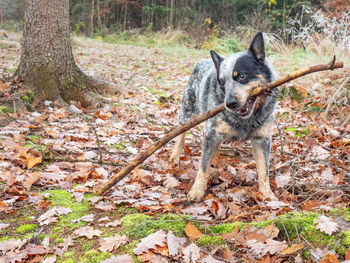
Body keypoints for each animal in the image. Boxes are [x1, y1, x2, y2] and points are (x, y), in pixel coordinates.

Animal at [171, 32, 280, 202]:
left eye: (241, 76)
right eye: (222, 83)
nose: (229, 103)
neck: (245, 120)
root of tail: (201, 61)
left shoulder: (262, 139)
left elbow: (264, 170)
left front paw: (268, 195)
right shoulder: (212, 134)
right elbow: (203, 166)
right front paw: (197, 191)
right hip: (187, 111)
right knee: (181, 132)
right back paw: (175, 156)